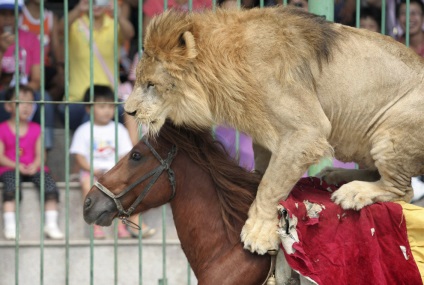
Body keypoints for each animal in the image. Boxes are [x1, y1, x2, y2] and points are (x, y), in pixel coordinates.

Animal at [124, 6, 424, 253]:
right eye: (138, 81)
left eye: (151, 84)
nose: (128, 111)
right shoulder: (264, 132)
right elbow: (264, 172)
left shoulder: (307, 131)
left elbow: (271, 185)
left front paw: (257, 232)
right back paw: (336, 175)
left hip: (389, 132)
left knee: (403, 191)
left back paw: (353, 192)